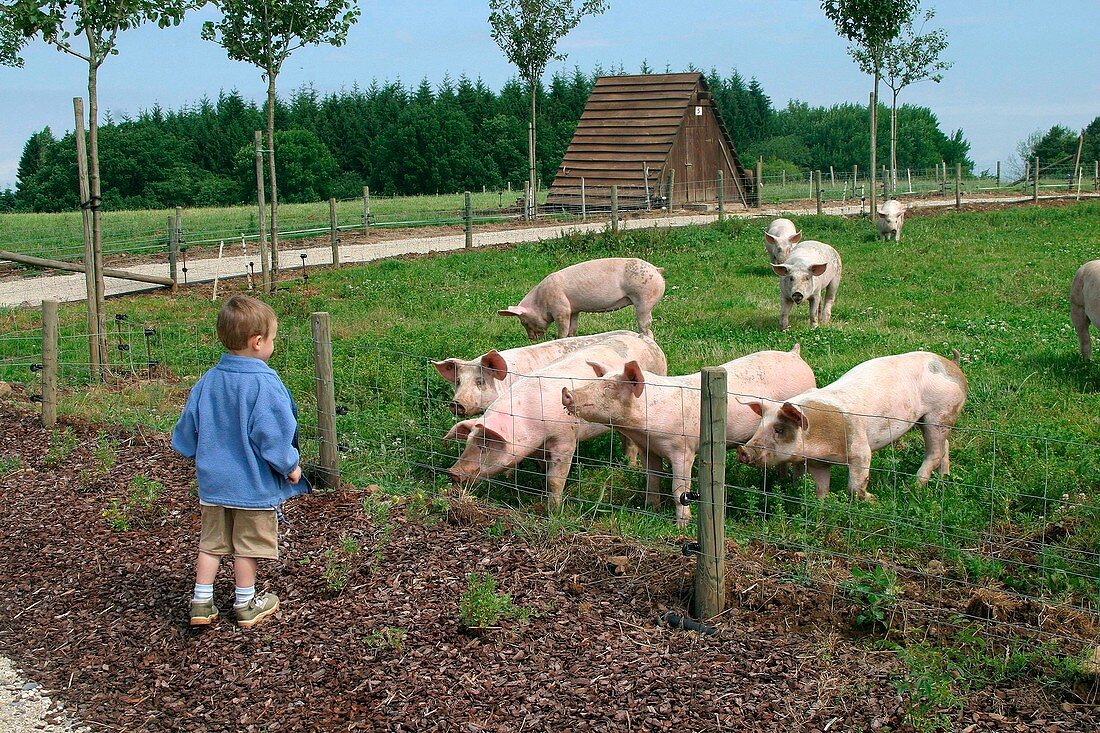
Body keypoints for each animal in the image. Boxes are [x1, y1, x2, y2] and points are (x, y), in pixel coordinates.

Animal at [442, 334, 664, 510]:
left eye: (485, 445)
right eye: (468, 442)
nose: (452, 472)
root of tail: (647, 341)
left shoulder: (565, 439)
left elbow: (555, 479)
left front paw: (554, 511)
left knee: (631, 443)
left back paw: (629, 467)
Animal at [497, 255, 660, 338]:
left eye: (523, 322)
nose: (531, 339)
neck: (540, 301)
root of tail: (657, 270)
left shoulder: (562, 310)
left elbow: (562, 331)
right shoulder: (574, 310)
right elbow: (572, 329)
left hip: (644, 299)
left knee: (646, 327)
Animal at [558, 347, 818, 526]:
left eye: (609, 388)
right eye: (598, 381)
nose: (567, 392)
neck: (643, 426)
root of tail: (795, 355)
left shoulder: (682, 449)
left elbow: (679, 488)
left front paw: (681, 525)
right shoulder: (648, 448)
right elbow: (652, 479)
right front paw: (650, 510)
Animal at [739, 347, 963, 497]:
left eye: (779, 429)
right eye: (760, 426)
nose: (743, 450)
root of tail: (953, 365)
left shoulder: (860, 449)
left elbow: (856, 484)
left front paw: (873, 499)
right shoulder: (818, 461)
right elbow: (820, 487)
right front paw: (821, 505)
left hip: (940, 413)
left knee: (934, 452)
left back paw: (911, 487)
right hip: (927, 420)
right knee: (945, 445)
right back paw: (943, 478)